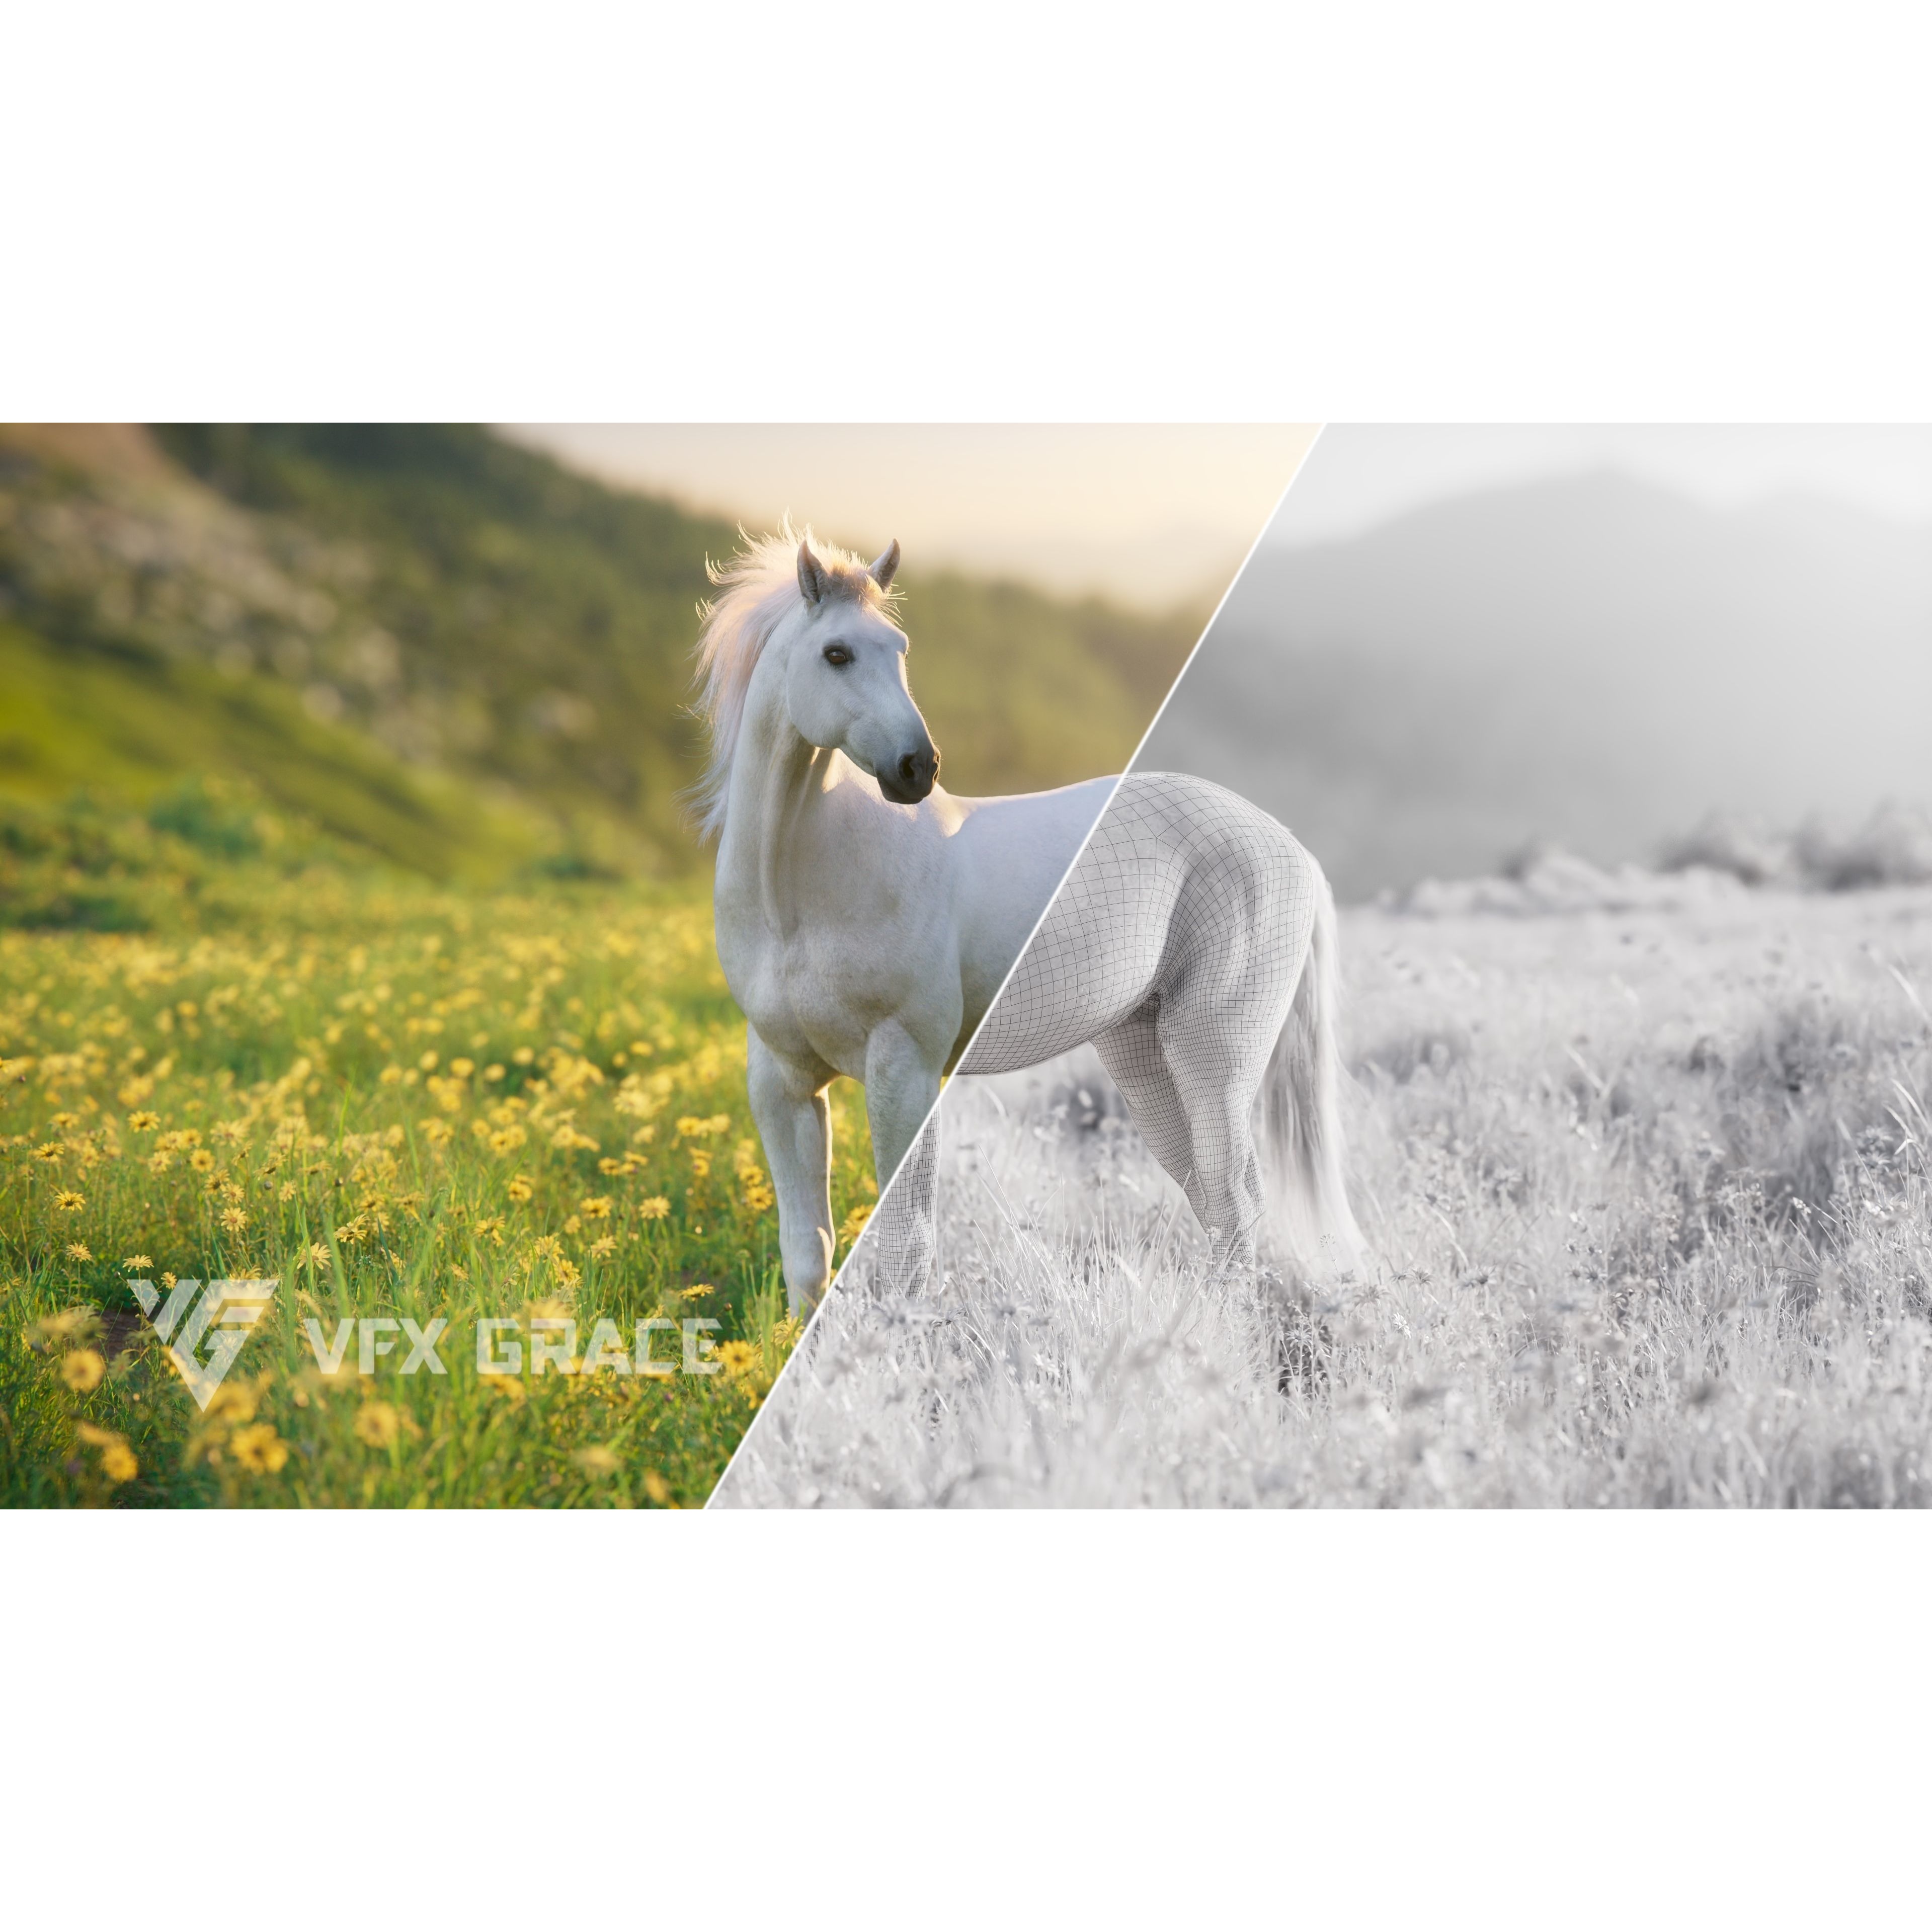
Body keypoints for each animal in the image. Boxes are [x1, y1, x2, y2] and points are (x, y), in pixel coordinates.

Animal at [694, 527, 1364, 1316]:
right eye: (836, 653)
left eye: (900, 647)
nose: (917, 769)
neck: (796, 899)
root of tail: (1288, 845)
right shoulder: (783, 1082)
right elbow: (809, 1255)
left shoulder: (905, 1068)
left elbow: (904, 1248)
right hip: (1145, 1059)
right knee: (1215, 1202)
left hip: (1213, 1054)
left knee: (1238, 1203)